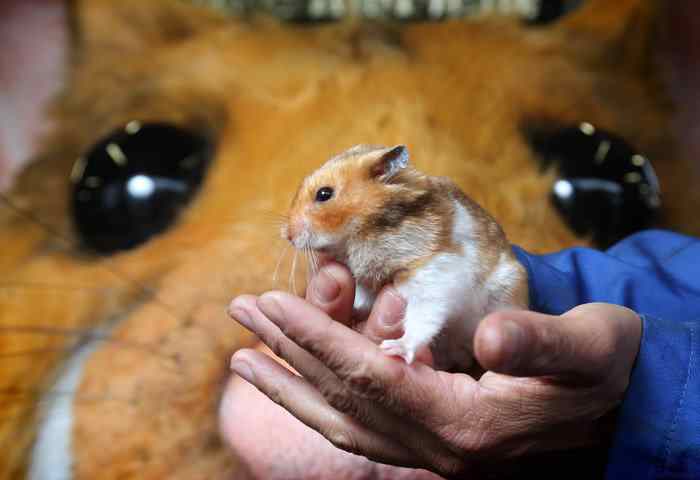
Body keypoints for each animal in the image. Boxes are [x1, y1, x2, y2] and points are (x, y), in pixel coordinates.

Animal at [282, 144, 528, 370]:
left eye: (324, 194)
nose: (288, 236)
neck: (362, 234)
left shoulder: (432, 276)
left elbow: (424, 316)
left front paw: (395, 349)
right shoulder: (368, 286)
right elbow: (361, 302)